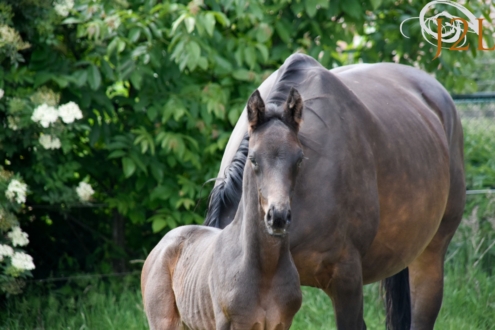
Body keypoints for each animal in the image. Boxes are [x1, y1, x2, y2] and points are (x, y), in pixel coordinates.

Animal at [141, 89, 308, 328]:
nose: (277, 217)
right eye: (253, 159)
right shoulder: (230, 323)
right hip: (163, 322)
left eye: (299, 159)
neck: (266, 270)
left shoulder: (282, 324)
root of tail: (162, 244)